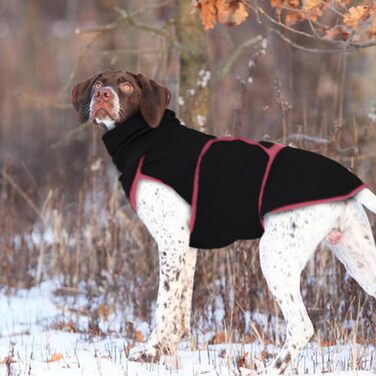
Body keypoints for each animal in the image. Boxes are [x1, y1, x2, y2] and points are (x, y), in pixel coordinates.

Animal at [72, 70, 376, 374]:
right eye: (98, 83)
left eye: (126, 86)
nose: (102, 95)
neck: (148, 138)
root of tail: (348, 184)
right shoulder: (186, 248)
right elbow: (180, 311)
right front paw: (168, 352)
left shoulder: (171, 244)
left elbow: (163, 307)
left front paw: (150, 352)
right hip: (357, 259)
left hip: (275, 257)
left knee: (301, 327)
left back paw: (270, 368)